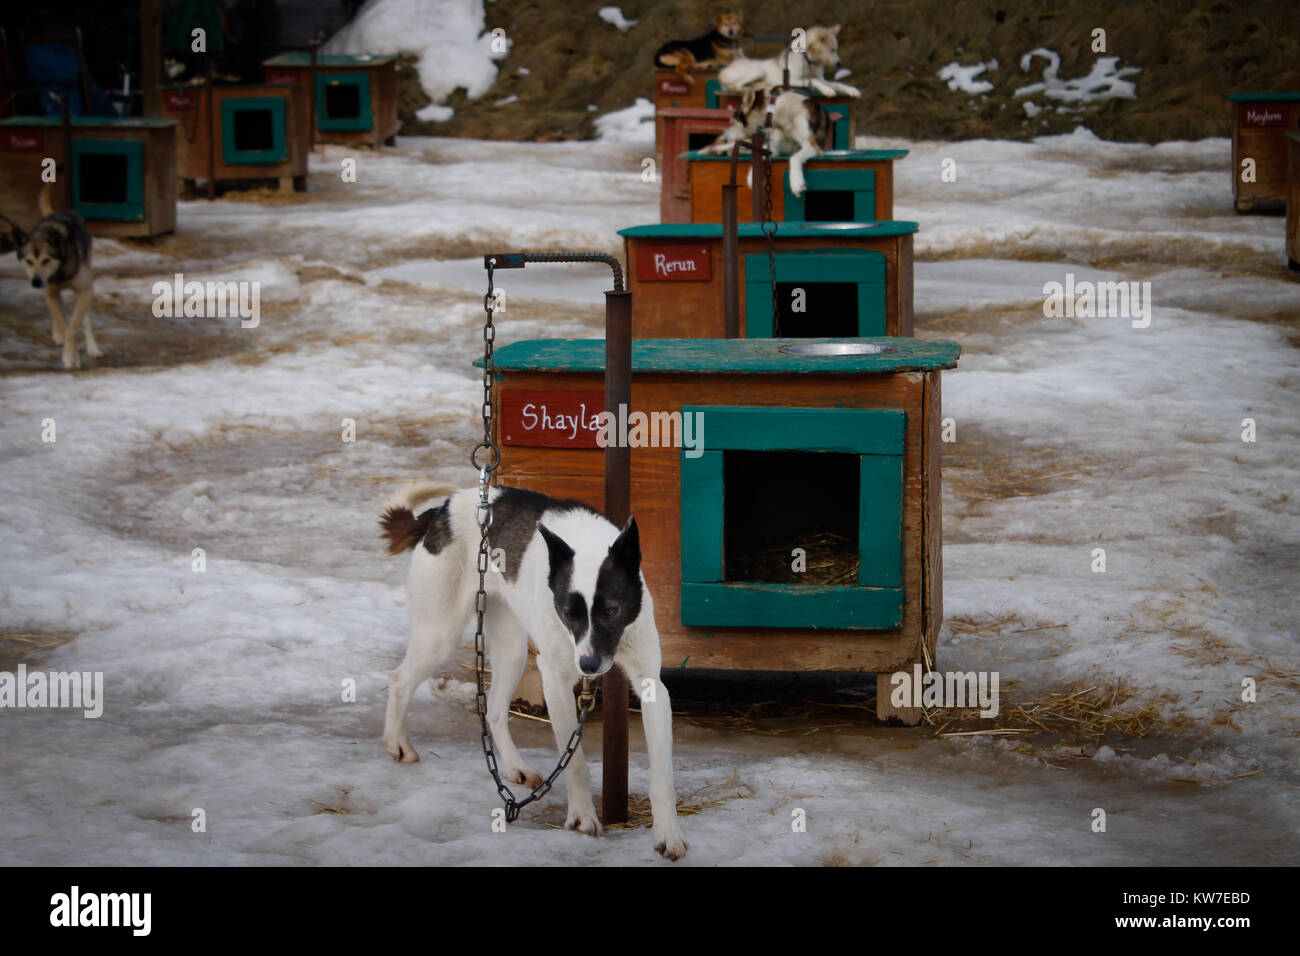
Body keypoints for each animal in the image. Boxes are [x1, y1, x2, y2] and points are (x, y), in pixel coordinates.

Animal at [379, 481, 691, 863]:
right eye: (569, 613)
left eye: (611, 610)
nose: (588, 666)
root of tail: (443, 509)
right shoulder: (555, 680)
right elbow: (575, 764)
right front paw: (582, 817)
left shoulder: (651, 685)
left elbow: (662, 777)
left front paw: (668, 835)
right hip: (441, 634)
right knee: (399, 679)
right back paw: (398, 744)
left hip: (512, 651)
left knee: (495, 710)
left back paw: (514, 768)